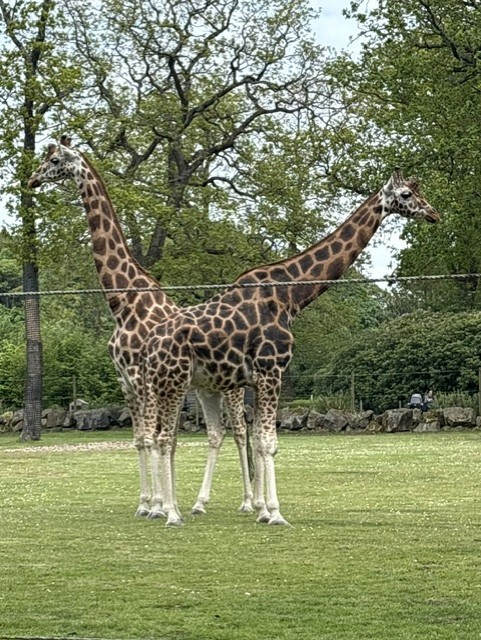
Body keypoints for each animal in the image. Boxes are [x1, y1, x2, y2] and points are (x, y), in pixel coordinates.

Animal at [27, 136, 254, 518]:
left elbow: (153, 437)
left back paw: (249, 502)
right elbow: (142, 439)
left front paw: (159, 506)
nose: (31, 179)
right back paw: (201, 502)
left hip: (232, 389)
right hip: (204, 389)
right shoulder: (126, 381)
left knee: (240, 429)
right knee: (215, 433)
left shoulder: (141, 376)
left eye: (54, 160)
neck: (124, 303)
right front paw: (148, 502)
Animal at [138, 168, 440, 526]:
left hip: (182, 385)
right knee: (163, 438)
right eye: (407, 194)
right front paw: (275, 513)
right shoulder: (272, 371)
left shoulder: (260, 378)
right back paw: (169, 512)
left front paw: (262, 510)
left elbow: (259, 440)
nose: (433, 213)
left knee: (166, 438)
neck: (290, 296)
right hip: (173, 383)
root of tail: (148, 348)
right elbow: (269, 442)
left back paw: (165, 507)